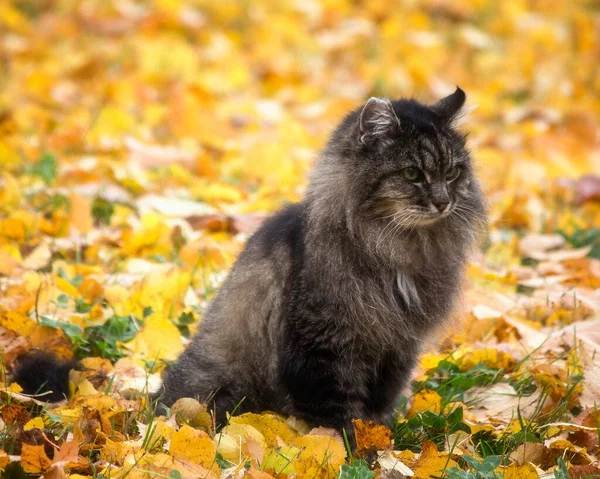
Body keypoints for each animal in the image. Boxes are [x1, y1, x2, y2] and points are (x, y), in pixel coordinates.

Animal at [159, 86, 488, 436]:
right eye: (412, 173)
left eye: (452, 173)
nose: (443, 202)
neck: (398, 247)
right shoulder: (323, 346)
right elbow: (336, 414)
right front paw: (350, 447)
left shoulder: (397, 347)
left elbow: (377, 406)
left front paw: (380, 439)